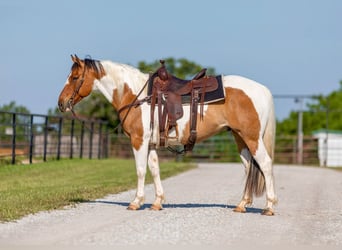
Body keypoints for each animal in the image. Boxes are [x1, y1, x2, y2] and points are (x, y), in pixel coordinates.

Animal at [58, 54, 278, 215]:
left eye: (75, 78)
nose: (61, 103)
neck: (136, 95)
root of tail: (262, 89)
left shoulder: (139, 141)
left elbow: (140, 171)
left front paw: (136, 202)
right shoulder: (151, 144)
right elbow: (154, 170)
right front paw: (157, 202)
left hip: (252, 138)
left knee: (265, 165)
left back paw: (268, 206)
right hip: (240, 139)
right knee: (249, 167)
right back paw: (242, 205)